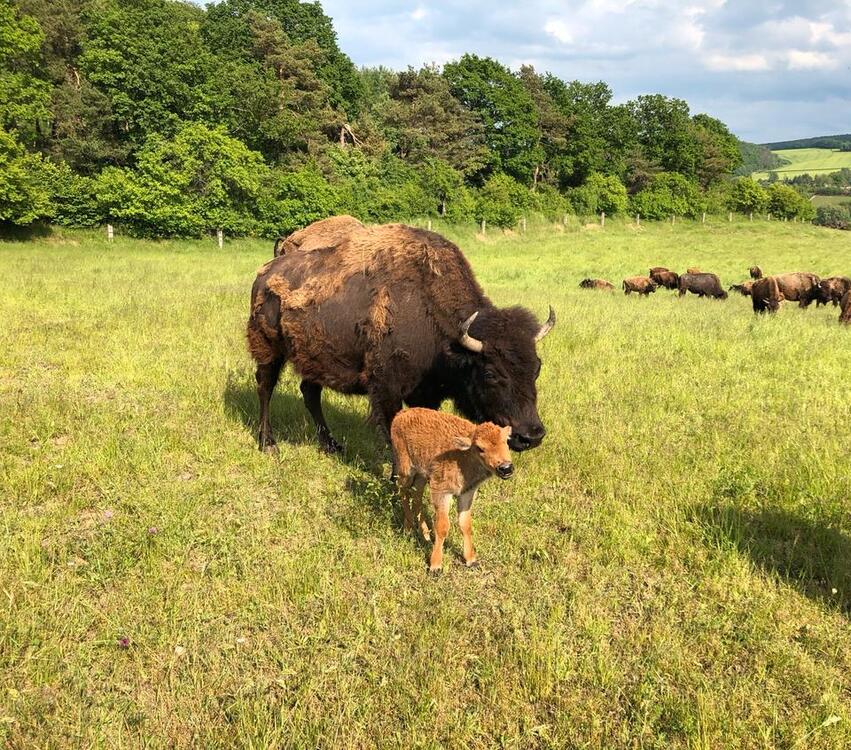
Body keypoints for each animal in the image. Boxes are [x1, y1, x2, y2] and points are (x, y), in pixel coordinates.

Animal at [246, 216, 555, 457]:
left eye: (537, 369)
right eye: (490, 373)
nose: (532, 435)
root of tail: (265, 272)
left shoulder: (427, 392)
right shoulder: (387, 389)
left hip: (314, 355)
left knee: (310, 393)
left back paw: (332, 445)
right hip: (269, 349)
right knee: (265, 386)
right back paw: (268, 444)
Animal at [391, 407, 513, 573]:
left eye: (505, 442)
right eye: (480, 448)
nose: (506, 468)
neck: (464, 456)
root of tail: (401, 414)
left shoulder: (466, 493)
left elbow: (465, 524)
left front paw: (471, 560)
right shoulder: (442, 492)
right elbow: (442, 527)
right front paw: (435, 566)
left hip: (421, 475)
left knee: (416, 497)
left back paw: (425, 535)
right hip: (406, 470)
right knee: (403, 492)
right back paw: (408, 529)